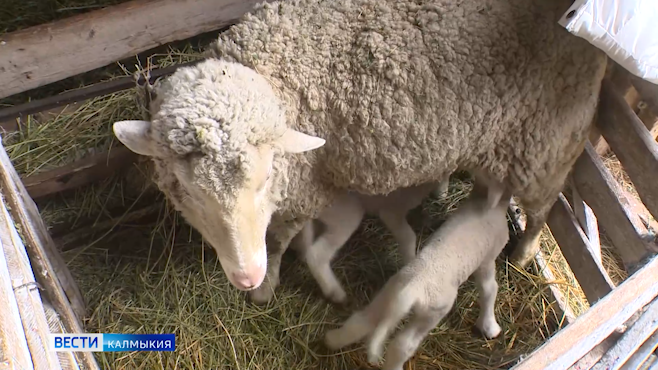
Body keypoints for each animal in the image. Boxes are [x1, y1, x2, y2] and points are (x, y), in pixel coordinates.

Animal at [109, 0, 604, 304]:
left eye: (265, 178)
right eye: (187, 192)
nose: (245, 275)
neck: (278, 69)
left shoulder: (302, 190)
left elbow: (278, 239)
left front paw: (265, 289)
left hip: (548, 140)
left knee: (543, 205)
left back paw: (523, 253)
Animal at [322, 185, 512, 370]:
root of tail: (409, 290)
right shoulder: (487, 259)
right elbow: (490, 289)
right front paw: (490, 326)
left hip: (388, 293)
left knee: (362, 319)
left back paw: (332, 340)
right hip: (430, 313)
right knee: (402, 345)